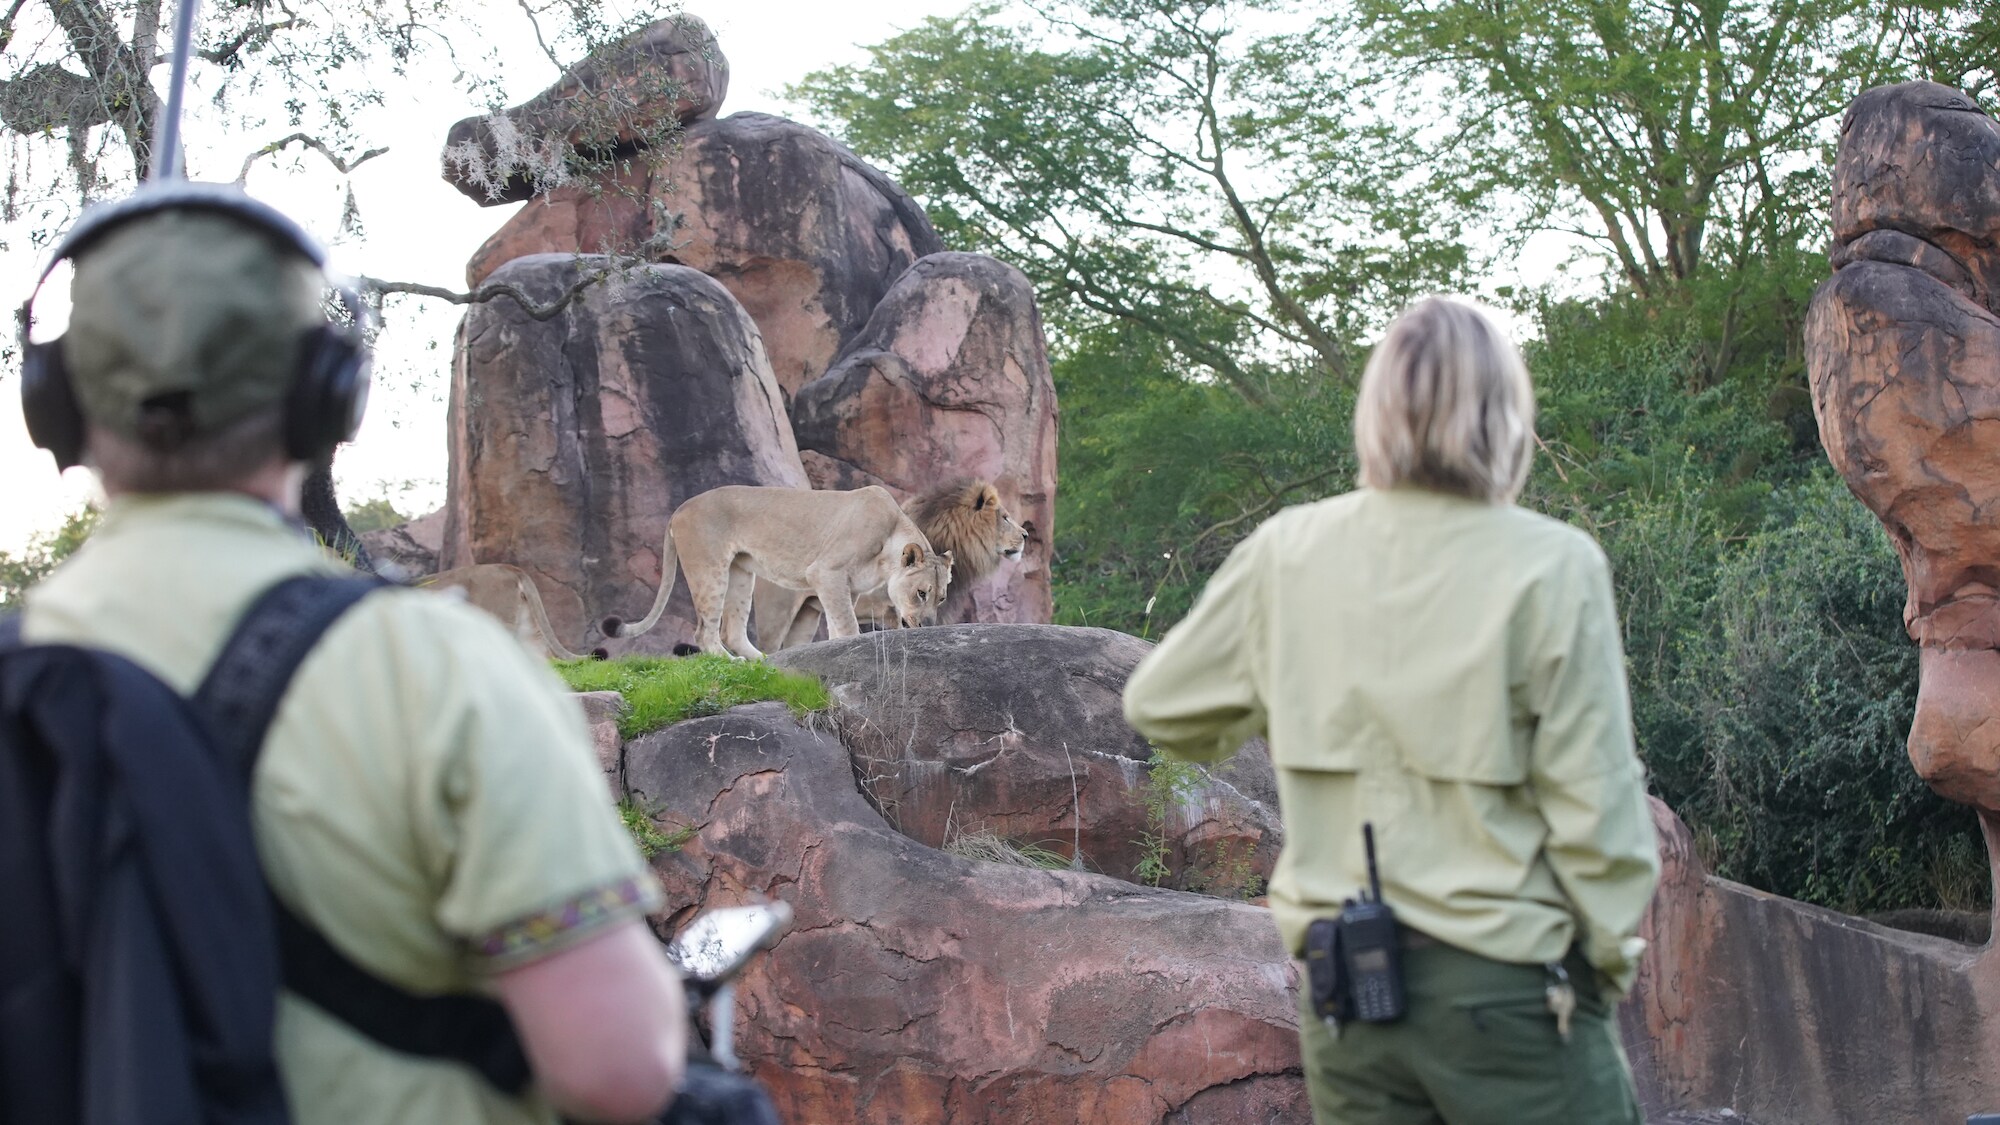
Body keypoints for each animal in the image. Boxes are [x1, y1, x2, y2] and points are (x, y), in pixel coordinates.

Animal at [596, 484, 948, 656]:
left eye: (941, 598)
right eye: (921, 593)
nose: (928, 625)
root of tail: (680, 508)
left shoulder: (843, 588)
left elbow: (837, 628)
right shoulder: (826, 572)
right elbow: (847, 627)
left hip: (740, 573)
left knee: (733, 631)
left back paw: (761, 666)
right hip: (711, 568)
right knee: (705, 632)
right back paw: (733, 664)